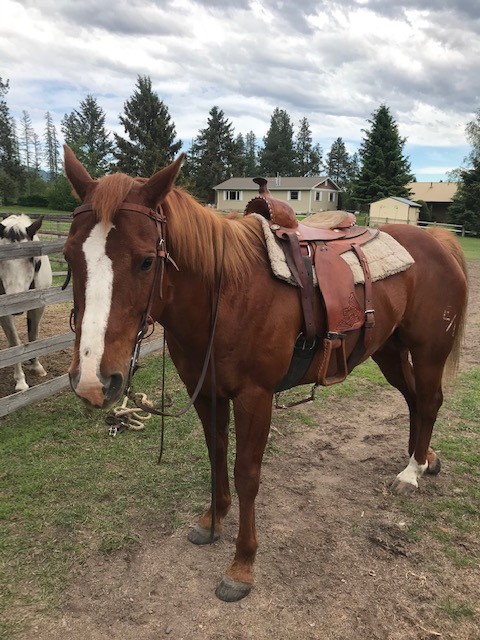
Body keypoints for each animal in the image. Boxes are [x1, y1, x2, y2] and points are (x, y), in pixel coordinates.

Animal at [0, 214, 53, 391]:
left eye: (32, 258)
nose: (17, 305)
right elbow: (15, 342)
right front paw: (20, 381)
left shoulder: (38, 306)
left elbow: (33, 335)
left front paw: (36, 366)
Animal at [62, 145, 468, 602]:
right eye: (69, 257)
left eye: (147, 261)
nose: (94, 381)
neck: (225, 292)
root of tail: (438, 241)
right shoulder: (207, 393)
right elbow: (217, 454)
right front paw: (212, 520)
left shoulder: (254, 398)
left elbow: (247, 474)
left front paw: (242, 565)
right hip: (389, 352)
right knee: (415, 399)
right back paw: (423, 459)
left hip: (429, 352)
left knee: (429, 401)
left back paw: (412, 472)